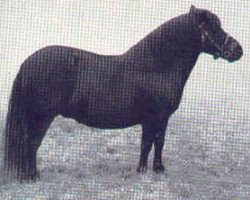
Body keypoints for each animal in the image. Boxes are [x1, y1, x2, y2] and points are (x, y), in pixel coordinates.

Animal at [1, 5, 242, 181]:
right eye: (215, 27)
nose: (238, 50)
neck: (155, 67)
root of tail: (27, 63)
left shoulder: (163, 118)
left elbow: (159, 142)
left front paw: (159, 169)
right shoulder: (151, 117)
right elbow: (147, 143)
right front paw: (142, 171)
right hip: (41, 117)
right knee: (31, 144)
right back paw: (32, 176)